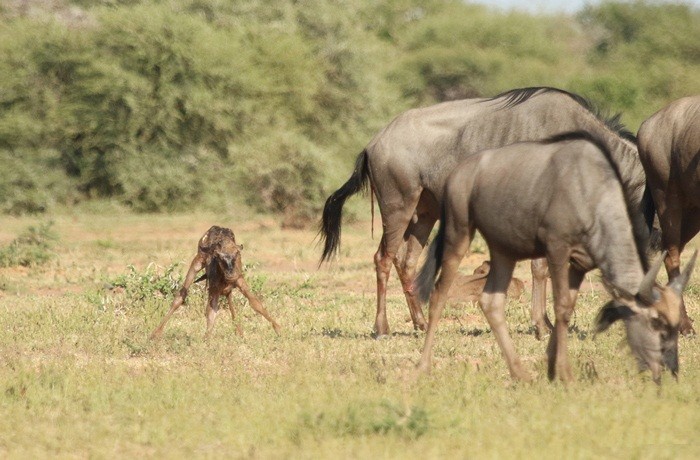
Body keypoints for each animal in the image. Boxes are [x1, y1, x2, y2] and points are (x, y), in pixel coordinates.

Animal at [149, 226, 280, 338]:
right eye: (219, 257)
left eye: (237, 254)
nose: (230, 275)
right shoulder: (214, 289)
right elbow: (211, 312)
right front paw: (206, 339)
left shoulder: (240, 282)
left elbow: (256, 303)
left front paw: (278, 328)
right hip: (197, 262)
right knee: (181, 296)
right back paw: (154, 334)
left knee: (229, 299)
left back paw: (239, 332)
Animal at [416, 130, 696, 384]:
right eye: (657, 322)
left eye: (676, 325)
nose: (670, 370)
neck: (590, 193)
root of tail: (457, 173)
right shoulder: (557, 250)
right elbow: (560, 306)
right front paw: (565, 374)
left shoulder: (580, 264)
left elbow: (567, 307)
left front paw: (551, 368)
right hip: (458, 234)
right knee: (439, 294)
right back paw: (424, 366)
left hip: (503, 252)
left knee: (491, 301)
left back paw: (520, 374)